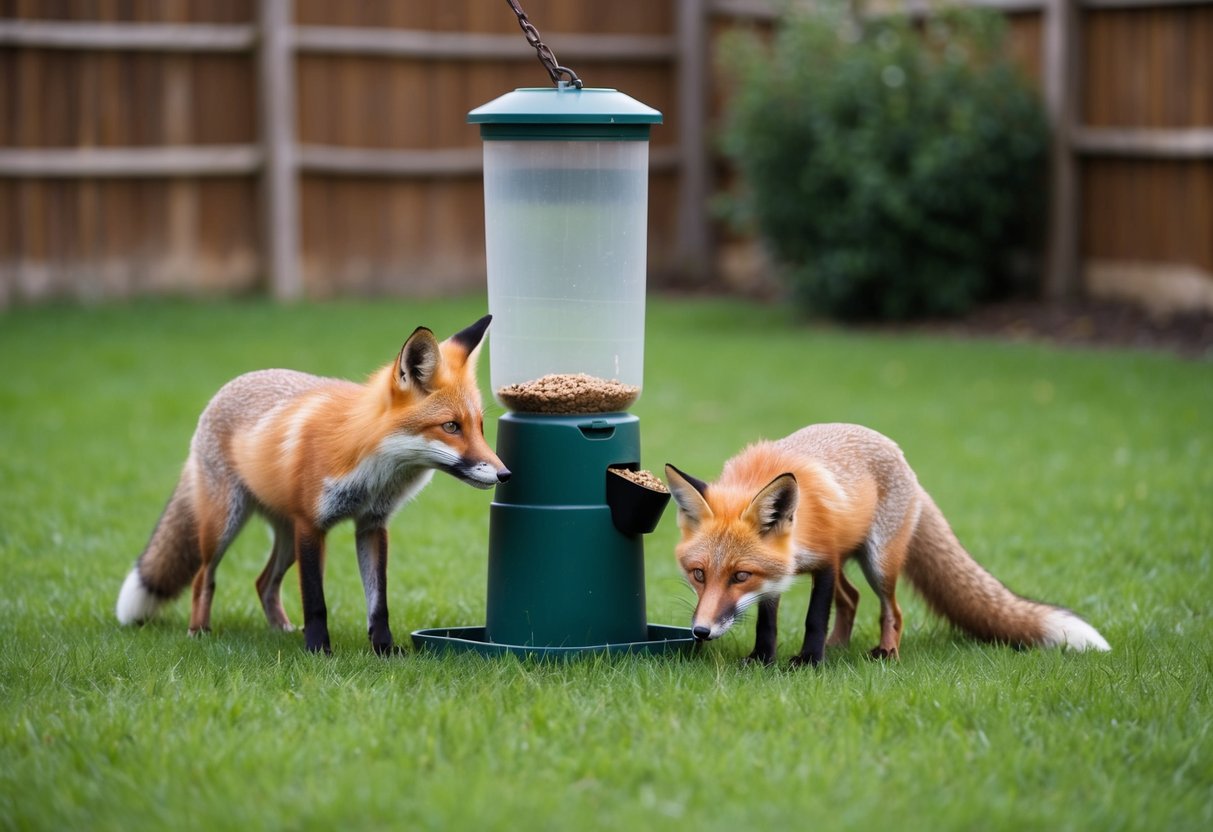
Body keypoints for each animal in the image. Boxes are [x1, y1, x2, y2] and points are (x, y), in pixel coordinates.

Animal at [116, 314, 509, 654]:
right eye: (451, 426)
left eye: (479, 427)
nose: (505, 474)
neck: (372, 470)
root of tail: (227, 388)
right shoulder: (311, 525)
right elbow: (315, 601)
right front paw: (319, 650)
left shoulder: (372, 526)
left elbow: (378, 603)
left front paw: (384, 650)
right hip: (225, 525)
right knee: (203, 578)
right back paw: (199, 631)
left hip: (285, 537)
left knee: (263, 582)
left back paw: (282, 630)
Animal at [664, 423, 1110, 667]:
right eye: (698, 574)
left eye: (740, 575)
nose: (701, 631)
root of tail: (902, 457)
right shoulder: (778, 576)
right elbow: (766, 623)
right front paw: (762, 659)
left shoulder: (823, 562)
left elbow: (814, 617)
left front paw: (808, 661)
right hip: (854, 563)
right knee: (852, 599)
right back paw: (839, 646)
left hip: (877, 562)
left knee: (890, 610)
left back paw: (885, 653)